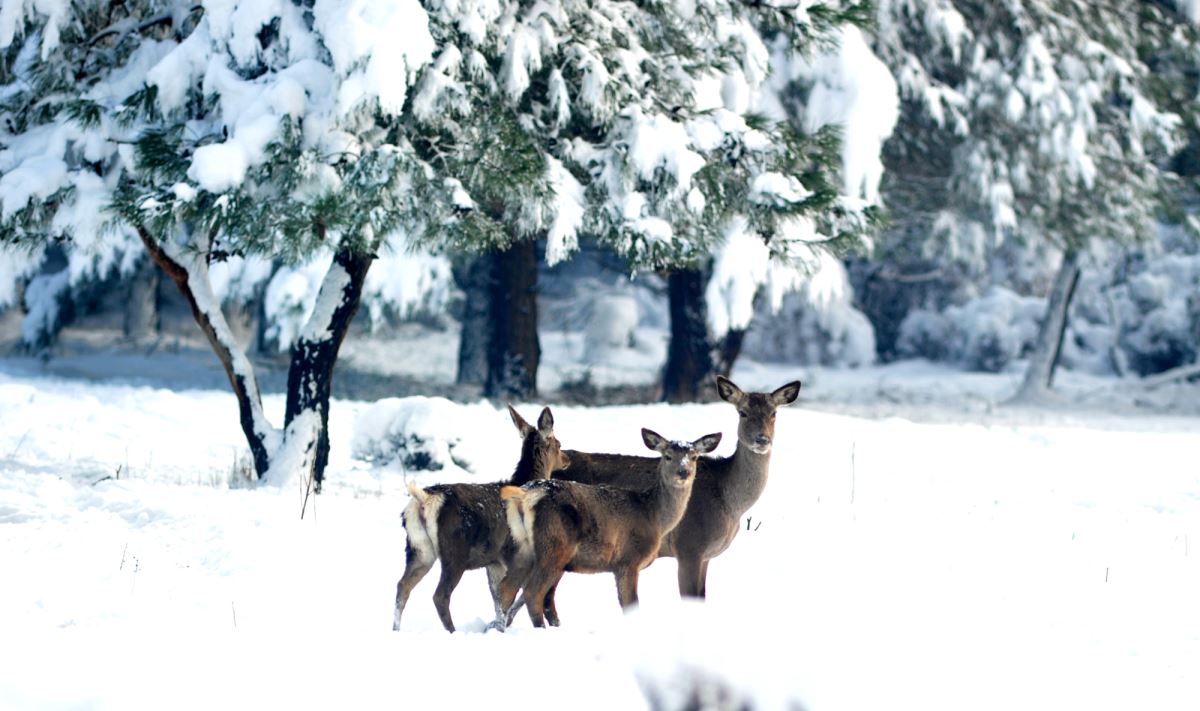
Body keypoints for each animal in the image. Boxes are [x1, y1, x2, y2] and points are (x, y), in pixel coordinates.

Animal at [388, 405, 566, 634]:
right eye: (559, 444)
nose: (567, 459)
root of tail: (424, 500)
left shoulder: (494, 561)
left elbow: (498, 599)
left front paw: (497, 627)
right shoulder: (516, 555)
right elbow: (516, 595)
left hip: (418, 549)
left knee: (403, 586)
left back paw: (396, 629)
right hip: (454, 551)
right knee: (440, 595)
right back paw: (452, 631)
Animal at [492, 427, 715, 629]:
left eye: (694, 457)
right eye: (667, 456)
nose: (683, 472)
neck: (653, 516)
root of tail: (525, 494)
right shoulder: (628, 560)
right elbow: (631, 605)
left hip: (523, 547)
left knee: (505, 589)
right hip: (554, 545)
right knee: (532, 592)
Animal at [549, 374, 801, 602]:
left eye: (774, 413)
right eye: (743, 412)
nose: (762, 440)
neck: (730, 504)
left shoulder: (706, 556)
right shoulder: (689, 546)